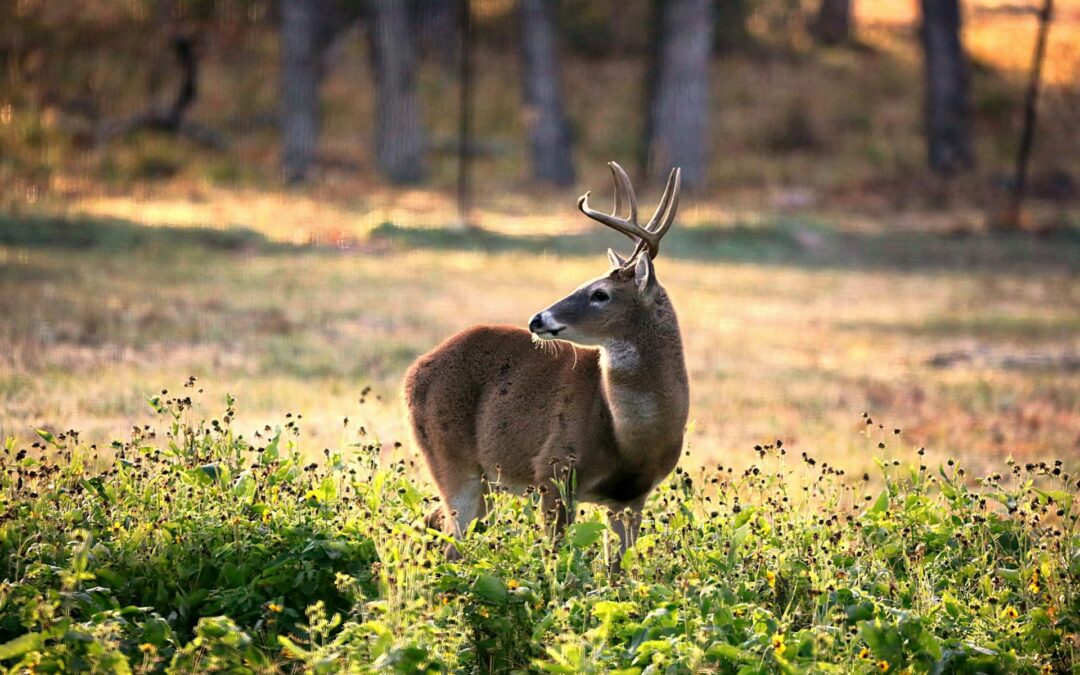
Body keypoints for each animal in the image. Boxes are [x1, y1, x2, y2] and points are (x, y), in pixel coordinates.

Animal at [401, 160, 686, 561]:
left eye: (600, 293)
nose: (537, 319)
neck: (631, 440)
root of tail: (413, 372)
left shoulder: (631, 497)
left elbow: (618, 569)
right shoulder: (553, 471)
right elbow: (559, 554)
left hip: (488, 479)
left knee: (432, 521)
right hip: (450, 458)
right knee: (450, 538)